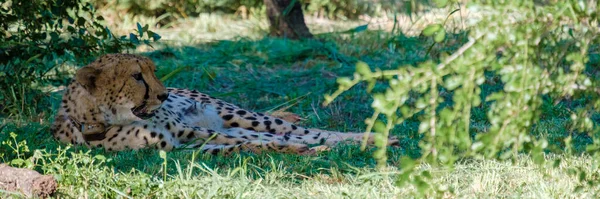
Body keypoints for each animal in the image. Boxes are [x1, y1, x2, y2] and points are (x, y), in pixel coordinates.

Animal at [51, 53, 398, 155]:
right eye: (137, 76)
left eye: (152, 71)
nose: (164, 95)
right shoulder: (184, 145)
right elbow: (252, 144)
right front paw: (302, 151)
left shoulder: (189, 134)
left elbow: (282, 137)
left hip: (237, 114)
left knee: (295, 128)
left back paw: (373, 138)